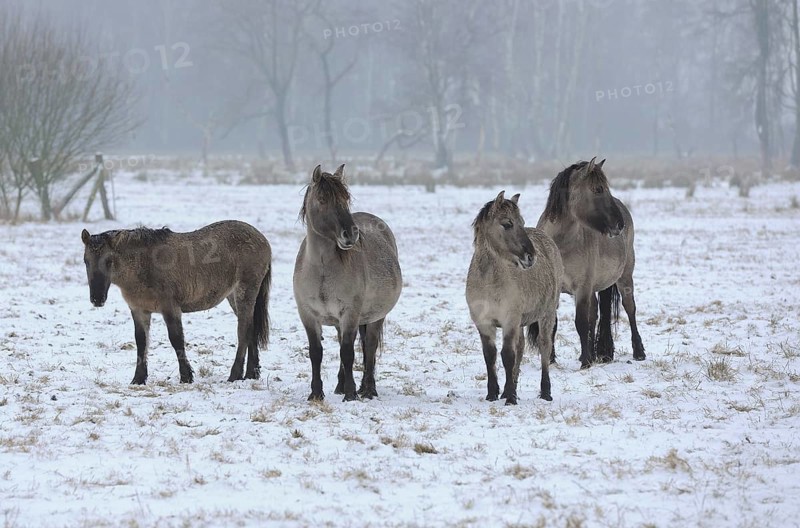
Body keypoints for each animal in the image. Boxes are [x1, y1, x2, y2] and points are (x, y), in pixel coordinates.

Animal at [81, 220, 271, 384]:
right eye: (86, 261)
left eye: (109, 261)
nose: (97, 299)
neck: (144, 264)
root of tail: (262, 239)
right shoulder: (139, 310)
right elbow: (141, 342)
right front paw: (138, 379)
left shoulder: (170, 308)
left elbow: (176, 339)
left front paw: (186, 376)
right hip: (234, 297)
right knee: (251, 329)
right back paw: (251, 374)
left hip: (245, 292)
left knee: (243, 331)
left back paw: (235, 375)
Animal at [293, 164, 402, 402]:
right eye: (323, 199)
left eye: (346, 198)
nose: (351, 234)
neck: (322, 270)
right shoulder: (308, 315)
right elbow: (316, 353)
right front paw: (316, 393)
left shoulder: (350, 314)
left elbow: (348, 352)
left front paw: (351, 394)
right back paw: (340, 386)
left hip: (375, 317)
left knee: (369, 347)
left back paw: (368, 389)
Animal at [466, 191, 563, 404]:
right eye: (507, 223)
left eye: (521, 222)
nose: (531, 256)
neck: (490, 282)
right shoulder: (484, 323)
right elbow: (491, 355)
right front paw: (493, 393)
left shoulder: (510, 320)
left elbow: (507, 356)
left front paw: (510, 398)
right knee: (521, 348)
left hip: (547, 314)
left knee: (544, 347)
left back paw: (545, 392)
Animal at [536, 157, 645, 369]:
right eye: (598, 189)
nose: (619, 224)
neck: (561, 244)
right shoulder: (555, 289)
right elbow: (553, 323)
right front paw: (551, 359)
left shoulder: (582, 288)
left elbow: (581, 322)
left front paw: (586, 362)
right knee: (594, 314)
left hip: (624, 278)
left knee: (630, 308)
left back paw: (638, 352)